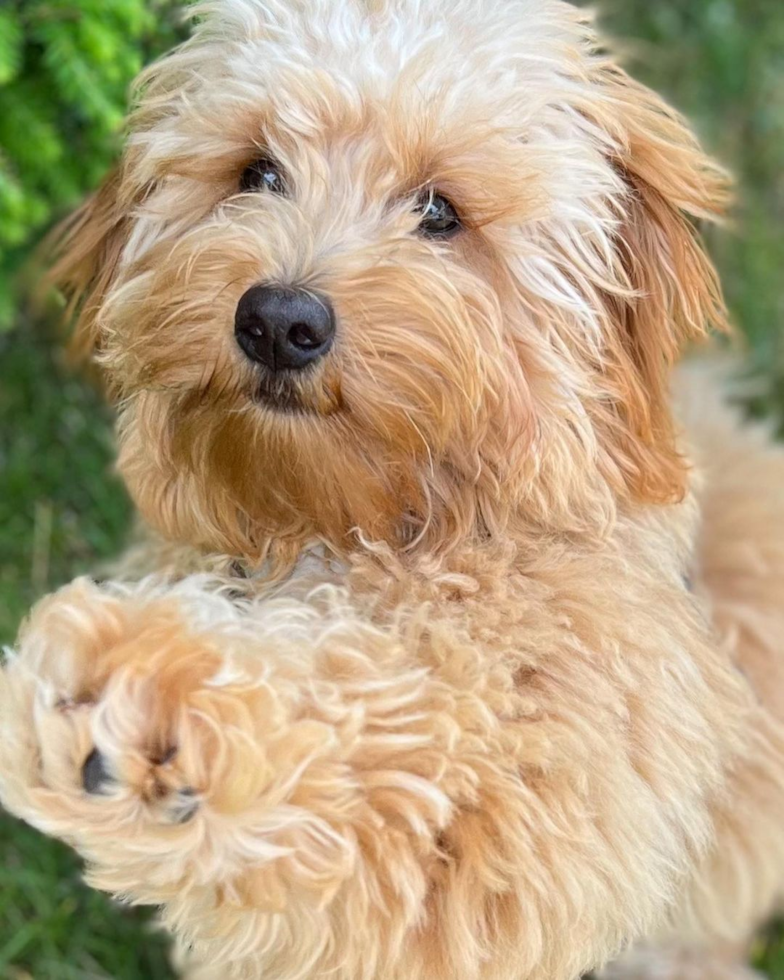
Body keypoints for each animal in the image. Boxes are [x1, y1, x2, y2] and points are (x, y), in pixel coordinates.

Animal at [1, 1, 784, 980]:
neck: (367, 526)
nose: (279, 320)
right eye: (256, 172)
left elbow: (406, 783)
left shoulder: (534, 816)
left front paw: (160, 703)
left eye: (440, 211)